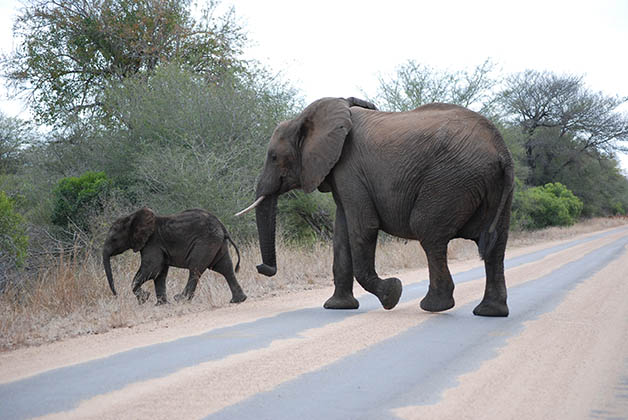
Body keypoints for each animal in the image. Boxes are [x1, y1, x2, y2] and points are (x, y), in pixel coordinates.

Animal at [102, 208, 247, 304]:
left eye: (114, 239)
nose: (116, 295)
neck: (132, 217)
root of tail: (221, 226)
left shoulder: (152, 243)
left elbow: (152, 269)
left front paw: (144, 298)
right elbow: (159, 274)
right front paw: (161, 305)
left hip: (205, 243)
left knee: (195, 269)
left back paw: (180, 299)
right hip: (217, 243)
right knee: (225, 268)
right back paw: (238, 300)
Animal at [238, 97, 512, 316]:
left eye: (273, 157)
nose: (263, 268)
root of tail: (501, 150)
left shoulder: (350, 169)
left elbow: (363, 229)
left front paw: (392, 293)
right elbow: (341, 236)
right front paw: (338, 307)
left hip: (450, 180)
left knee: (428, 232)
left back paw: (433, 307)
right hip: (492, 186)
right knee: (497, 245)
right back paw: (490, 312)